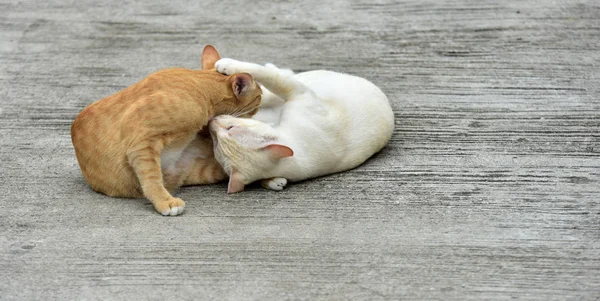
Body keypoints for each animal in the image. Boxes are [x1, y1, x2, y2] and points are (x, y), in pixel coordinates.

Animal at [71, 44, 262, 214]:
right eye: (259, 99)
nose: (257, 114)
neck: (200, 87)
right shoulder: (141, 144)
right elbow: (152, 177)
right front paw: (165, 201)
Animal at [209, 58, 396, 192]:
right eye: (215, 143)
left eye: (230, 129)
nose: (211, 123)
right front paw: (273, 181)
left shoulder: (297, 93)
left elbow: (268, 76)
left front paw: (228, 65)